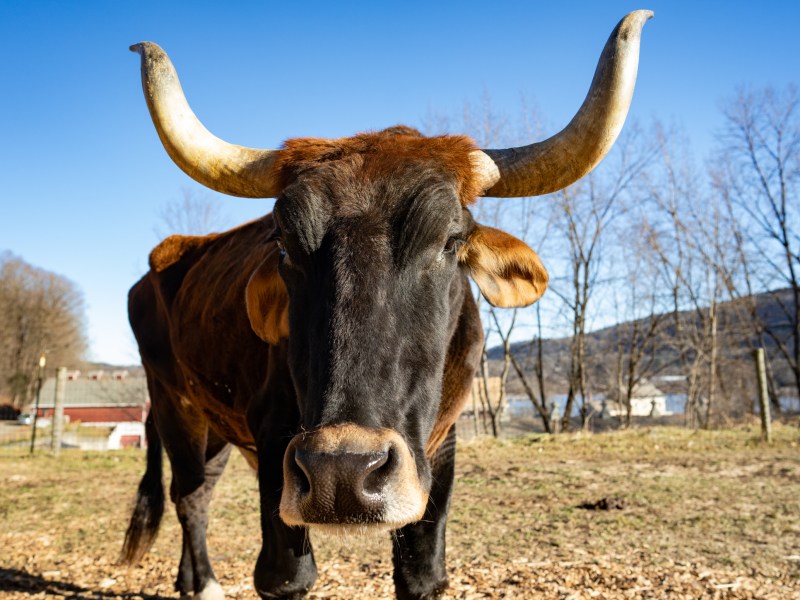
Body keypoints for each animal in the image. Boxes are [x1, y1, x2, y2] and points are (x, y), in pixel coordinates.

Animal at [120, 11, 652, 600]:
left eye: (450, 240)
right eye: (284, 244)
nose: (342, 472)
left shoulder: (440, 447)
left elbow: (421, 573)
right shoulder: (275, 444)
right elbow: (285, 575)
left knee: (202, 489)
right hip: (174, 405)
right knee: (189, 494)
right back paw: (205, 582)